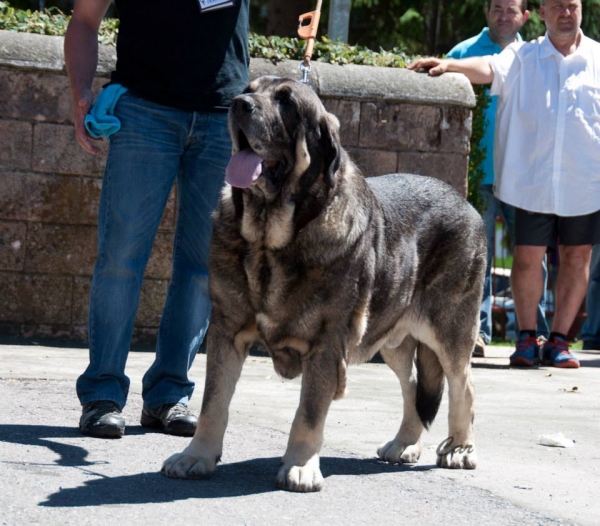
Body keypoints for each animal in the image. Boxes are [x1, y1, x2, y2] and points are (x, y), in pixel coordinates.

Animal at [164, 76, 488, 492]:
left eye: (286, 102)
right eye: (249, 89)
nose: (238, 104)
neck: (271, 239)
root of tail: (466, 204)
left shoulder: (326, 343)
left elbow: (309, 412)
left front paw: (301, 466)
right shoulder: (227, 330)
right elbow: (213, 401)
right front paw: (196, 456)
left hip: (449, 330)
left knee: (464, 385)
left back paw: (460, 449)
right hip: (393, 338)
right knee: (415, 384)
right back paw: (405, 443)